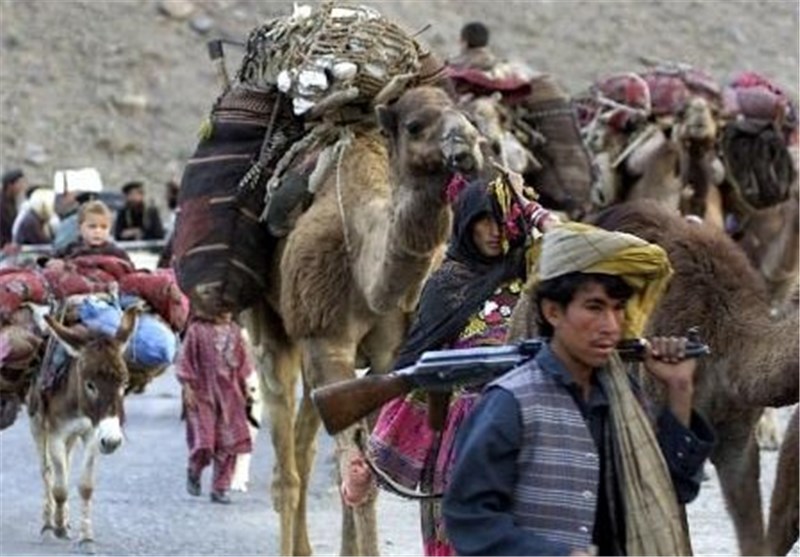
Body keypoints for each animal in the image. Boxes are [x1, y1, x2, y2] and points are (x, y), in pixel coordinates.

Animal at [26, 306, 138, 552]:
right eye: (90, 384)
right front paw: (57, 527)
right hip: (37, 424)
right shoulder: (56, 433)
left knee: (64, 466)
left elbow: (85, 486)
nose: (113, 441)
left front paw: (86, 537)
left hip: (72, 437)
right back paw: (48, 525)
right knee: (47, 472)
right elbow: (59, 488)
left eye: (124, 384)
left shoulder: (92, 434)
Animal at [241, 84, 484, 552]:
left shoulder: (388, 356)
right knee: (287, 466)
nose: (468, 146)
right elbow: (356, 472)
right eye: (415, 125)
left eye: (466, 115)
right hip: (272, 328)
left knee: (305, 448)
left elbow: (363, 472)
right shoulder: (327, 340)